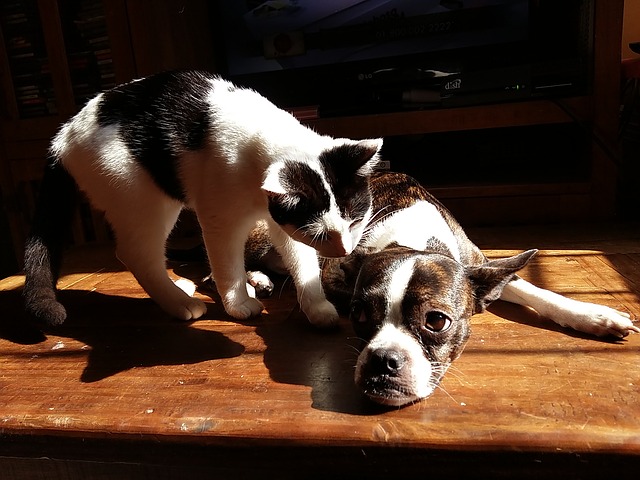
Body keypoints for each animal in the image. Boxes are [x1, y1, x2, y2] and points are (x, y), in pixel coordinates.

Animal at [25, 69, 382, 328]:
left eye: (355, 221)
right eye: (322, 234)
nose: (345, 250)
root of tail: (63, 135)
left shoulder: (282, 222)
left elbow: (301, 259)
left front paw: (316, 306)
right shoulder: (220, 219)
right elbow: (227, 265)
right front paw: (238, 303)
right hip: (144, 199)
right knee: (136, 254)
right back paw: (179, 302)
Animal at [244, 171, 636, 406]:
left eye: (436, 321)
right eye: (359, 313)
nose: (383, 359)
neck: (415, 238)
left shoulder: (481, 264)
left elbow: (537, 291)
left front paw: (594, 315)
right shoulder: (333, 271)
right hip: (262, 234)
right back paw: (253, 284)